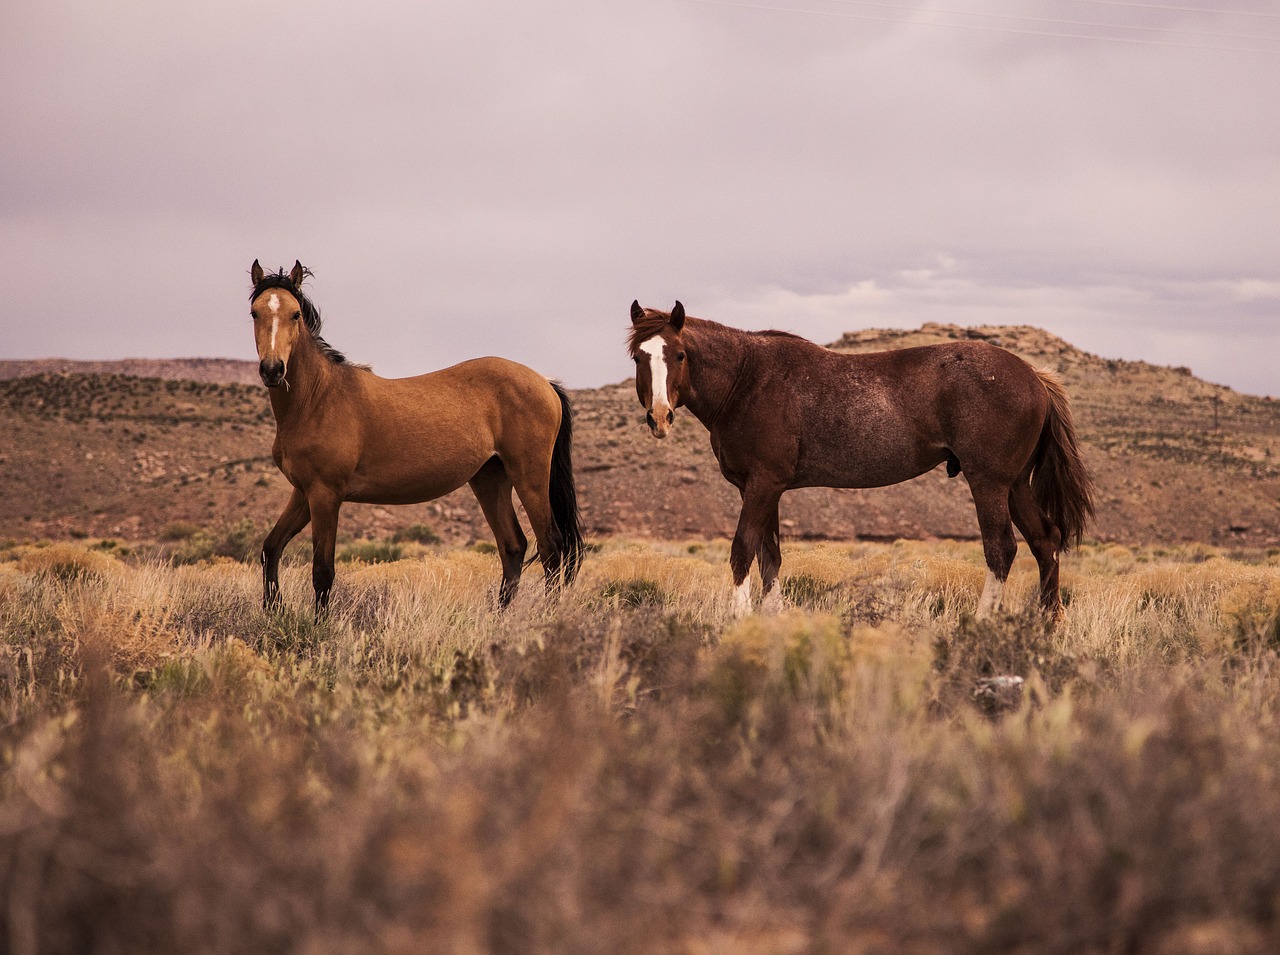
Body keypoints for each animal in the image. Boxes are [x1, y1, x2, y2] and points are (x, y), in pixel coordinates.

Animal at [245, 259, 586, 614]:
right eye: (255, 312)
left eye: (295, 314)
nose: (273, 369)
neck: (318, 398)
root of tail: (545, 382)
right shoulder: (304, 492)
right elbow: (271, 548)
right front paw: (273, 610)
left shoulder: (325, 495)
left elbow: (323, 571)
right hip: (490, 479)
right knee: (513, 546)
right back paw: (500, 617)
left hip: (530, 478)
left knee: (551, 548)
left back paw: (547, 615)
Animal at [624, 300, 1095, 622]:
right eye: (638, 357)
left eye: (679, 355)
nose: (660, 417)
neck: (747, 380)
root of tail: (1034, 376)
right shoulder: (765, 490)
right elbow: (769, 557)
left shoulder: (761, 486)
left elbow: (742, 550)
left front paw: (739, 619)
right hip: (1014, 485)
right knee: (1046, 542)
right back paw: (1047, 626)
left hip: (989, 483)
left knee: (1002, 550)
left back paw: (981, 624)